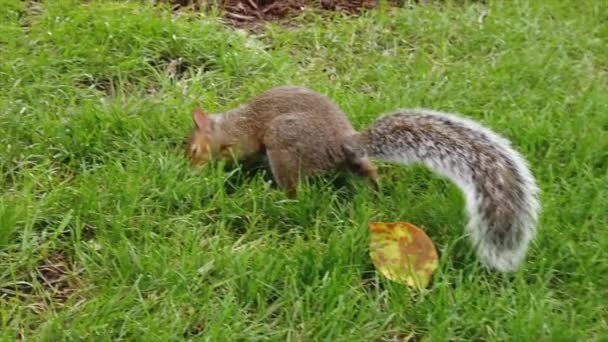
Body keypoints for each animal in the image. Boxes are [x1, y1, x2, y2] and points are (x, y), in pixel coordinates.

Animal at [183, 85, 540, 272]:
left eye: (195, 149)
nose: (191, 170)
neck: (225, 125)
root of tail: (341, 142)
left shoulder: (241, 139)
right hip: (346, 163)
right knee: (367, 170)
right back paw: (376, 190)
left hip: (283, 146)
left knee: (295, 190)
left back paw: (278, 197)